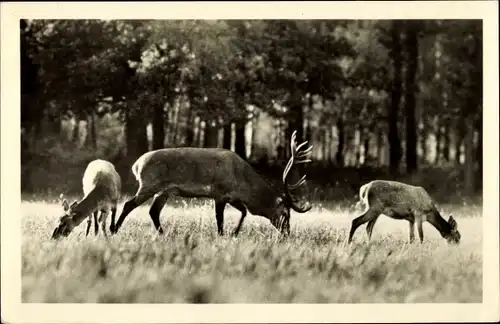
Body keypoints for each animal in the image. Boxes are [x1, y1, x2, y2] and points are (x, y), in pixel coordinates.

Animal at [111, 130, 310, 237]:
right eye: (286, 214)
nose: (287, 234)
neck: (243, 185)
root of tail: (136, 165)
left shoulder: (232, 197)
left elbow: (244, 212)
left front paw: (234, 233)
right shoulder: (219, 193)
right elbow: (219, 219)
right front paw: (222, 235)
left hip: (164, 191)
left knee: (153, 211)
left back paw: (163, 233)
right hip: (149, 184)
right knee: (129, 204)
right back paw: (114, 229)